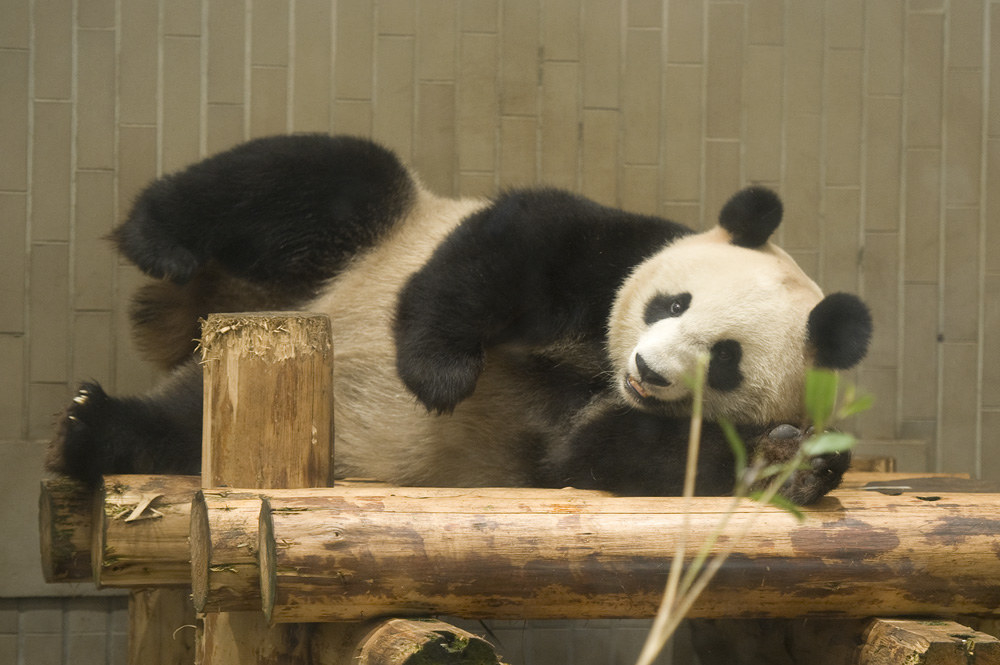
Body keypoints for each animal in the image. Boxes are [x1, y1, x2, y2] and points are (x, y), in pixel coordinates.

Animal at [48, 131, 868, 504]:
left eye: (724, 359)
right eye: (671, 303)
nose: (649, 368)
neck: (595, 369)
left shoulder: (592, 432)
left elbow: (611, 454)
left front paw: (792, 464)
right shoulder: (613, 253)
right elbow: (515, 243)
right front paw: (437, 375)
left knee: (179, 428)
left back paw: (93, 427)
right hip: (361, 236)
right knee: (316, 177)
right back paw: (158, 240)